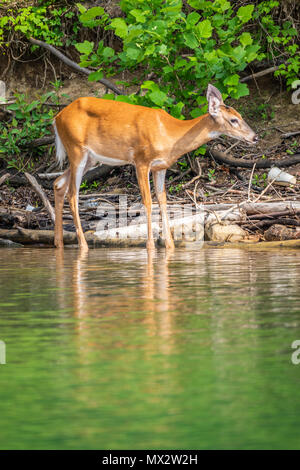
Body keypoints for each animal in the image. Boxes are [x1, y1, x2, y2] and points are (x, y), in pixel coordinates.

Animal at [52, 85, 258, 253]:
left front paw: (170, 245)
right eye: (233, 120)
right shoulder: (141, 160)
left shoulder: (161, 166)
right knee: (73, 194)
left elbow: (162, 200)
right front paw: (150, 246)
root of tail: (56, 118)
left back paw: (59, 242)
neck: (170, 134)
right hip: (76, 149)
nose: (255, 137)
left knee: (58, 183)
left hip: (90, 159)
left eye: (241, 116)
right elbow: (148, 202)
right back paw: (83, 245)